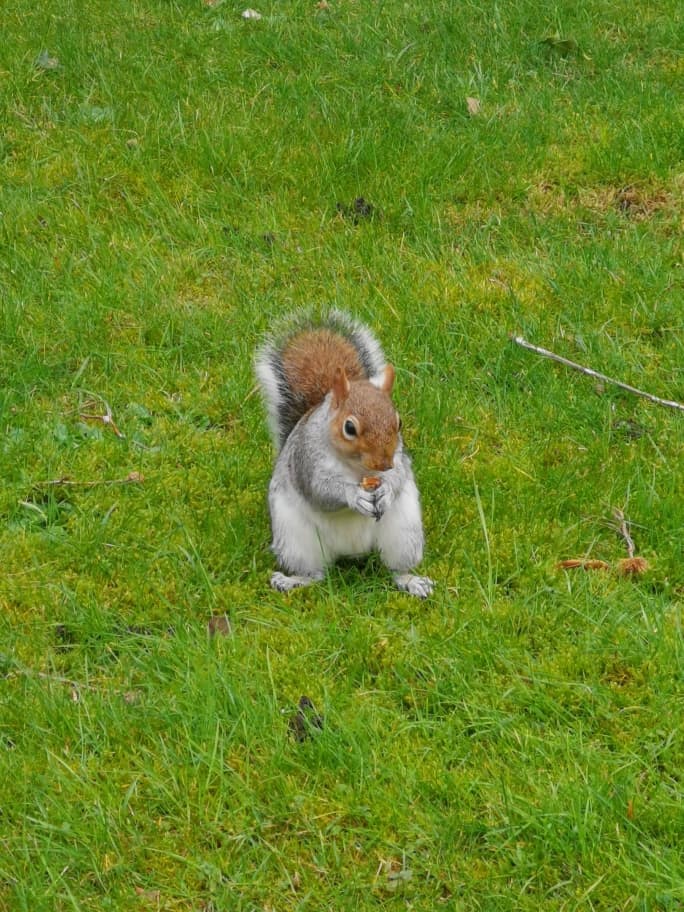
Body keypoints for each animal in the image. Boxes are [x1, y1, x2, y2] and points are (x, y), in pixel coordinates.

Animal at [254, 310, 433, 598]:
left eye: (399, 422)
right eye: (350, 428)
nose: (383, 463)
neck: (356, 468)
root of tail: (352, 551)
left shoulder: (399, 458)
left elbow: (398, 476)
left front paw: (385, 490)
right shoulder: (306, 460)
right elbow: (320, 490)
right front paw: (354, 495)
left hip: (403, 534)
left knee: (395, 569)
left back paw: (412, 581)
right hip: (297, 541)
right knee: (316, 574)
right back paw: (292, 581)